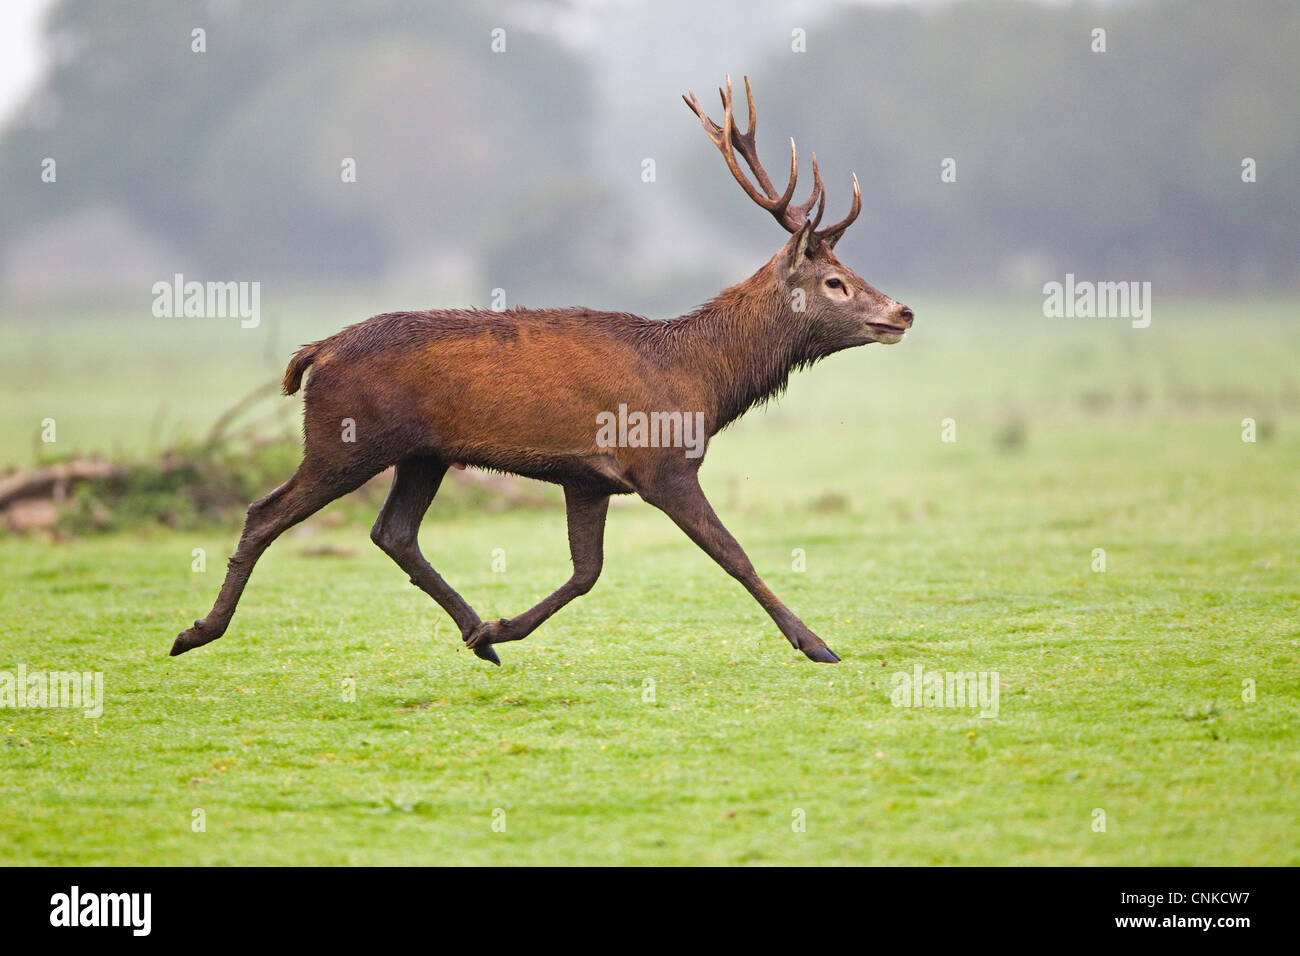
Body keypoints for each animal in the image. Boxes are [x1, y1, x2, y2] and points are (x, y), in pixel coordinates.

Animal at [167, 76, 909, 665]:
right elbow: (735, 556)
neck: (702, 381)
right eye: (836, 282)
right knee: (265, 511)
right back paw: (197, 631)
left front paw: (500, 627)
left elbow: (587, 572)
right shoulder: (660, 463)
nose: (901, 312)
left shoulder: (589, 478)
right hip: (344, 439)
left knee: (393, 532)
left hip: (423, 453)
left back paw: (477, 637)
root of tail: (315, 351)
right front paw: (816, 644)